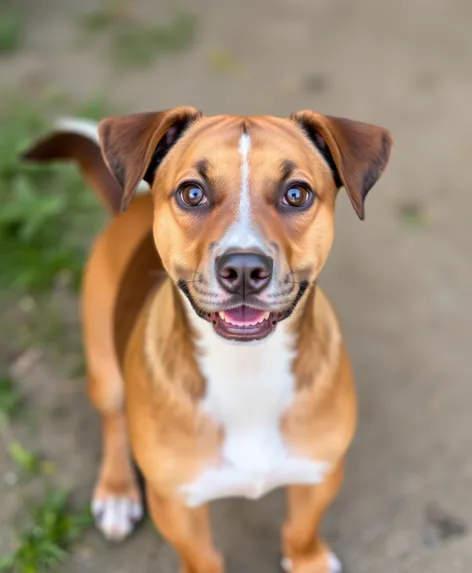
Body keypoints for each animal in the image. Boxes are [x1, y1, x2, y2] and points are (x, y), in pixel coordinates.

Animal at [23, 108, 390, 572]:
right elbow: (203, 556)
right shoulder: (176, 505)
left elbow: (302, 529)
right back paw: (118, 490)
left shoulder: (320, 472)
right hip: (104, 371)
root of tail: (131, 203)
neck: (247, 370)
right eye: (192, 193)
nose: (245, 269)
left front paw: (308, 561)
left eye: (296, 194)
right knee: (113, 421)